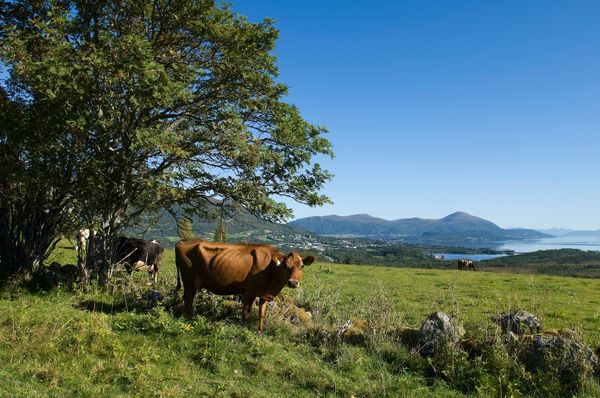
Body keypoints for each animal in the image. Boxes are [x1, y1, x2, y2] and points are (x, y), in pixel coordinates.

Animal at [176, 238, 316, 332]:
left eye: (302, 266)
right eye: (286, 266)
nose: (293, 282)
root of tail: (183, 241)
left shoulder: (264, 294)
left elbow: (262, 314)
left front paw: (260, 332)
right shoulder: (250, 291)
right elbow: (245, 313)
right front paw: (242, 330)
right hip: (188, 281)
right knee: (188, 299)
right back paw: (189, 319)